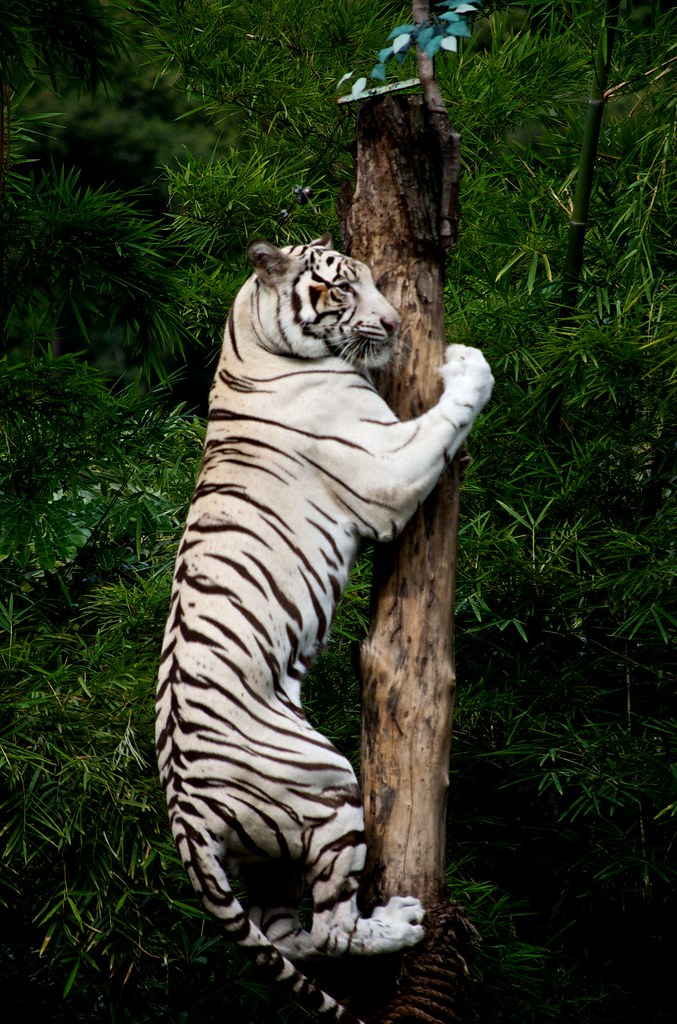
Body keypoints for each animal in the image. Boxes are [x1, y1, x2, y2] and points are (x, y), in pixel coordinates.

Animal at [156, 235, 493, 1019]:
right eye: (340, 289)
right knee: (333, 929)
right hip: (326, 786)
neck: (249, 339)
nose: (395, 324)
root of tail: (184, 820)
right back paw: (400, 923)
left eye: (373, 278)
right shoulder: (388, 465)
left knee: (293, 933)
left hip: (266, 855)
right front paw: (468, 361)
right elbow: (449, 413)